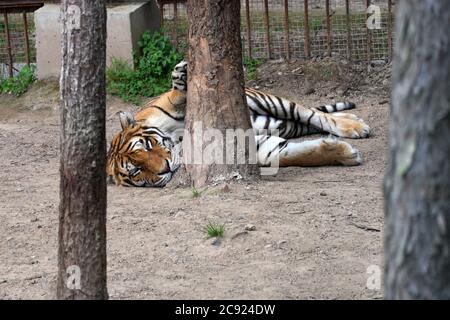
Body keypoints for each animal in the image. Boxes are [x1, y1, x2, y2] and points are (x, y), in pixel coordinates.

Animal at [107, 60, 370, 188]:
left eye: (148, 146)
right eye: (137, 170)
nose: (165, 169)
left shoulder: (171, 106)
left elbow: (177, 94)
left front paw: (180, 74)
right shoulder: (259, 147)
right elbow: (299, 154)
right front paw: (345, 155)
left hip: (274, 102)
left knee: (313, 113)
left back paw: (355, 126)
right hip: (281, 124)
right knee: (308, 122)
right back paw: (355, 122)